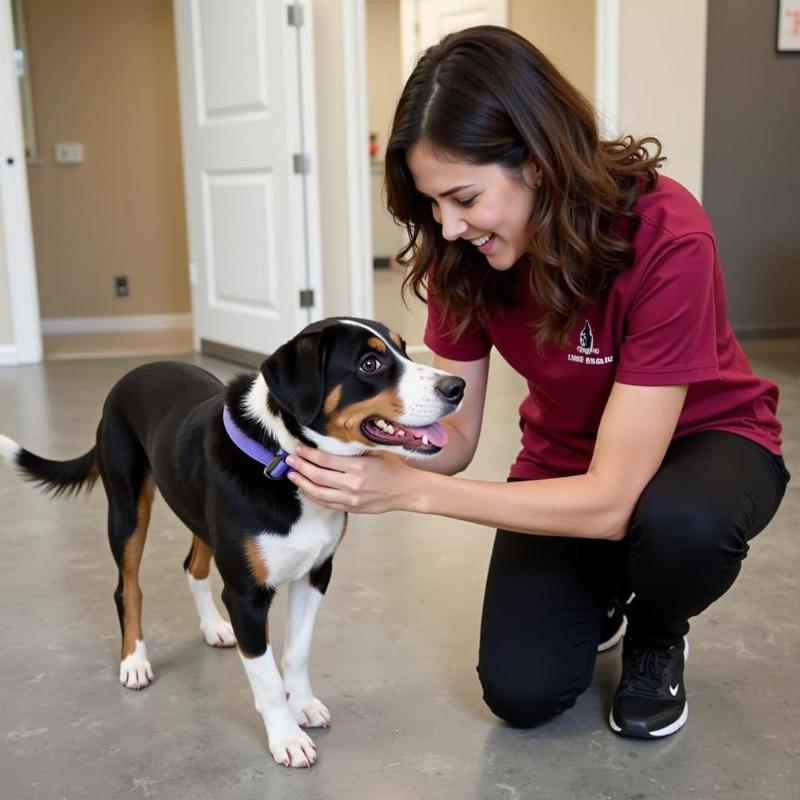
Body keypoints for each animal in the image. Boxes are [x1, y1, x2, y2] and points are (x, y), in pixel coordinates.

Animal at [0, 318, 466, 768]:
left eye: (404, 349)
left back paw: (212, 628)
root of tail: (133, 373)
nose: (456, 386)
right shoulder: (246, 596)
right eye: (369, 365)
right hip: (127, 510)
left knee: (193, 567)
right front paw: (286, 739)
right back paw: (134, 661)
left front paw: (303, 704)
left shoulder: (316, 573)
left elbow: (296, 653)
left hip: (199, 517)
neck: (282, 460)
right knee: (127, 588)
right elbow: (266, 677)